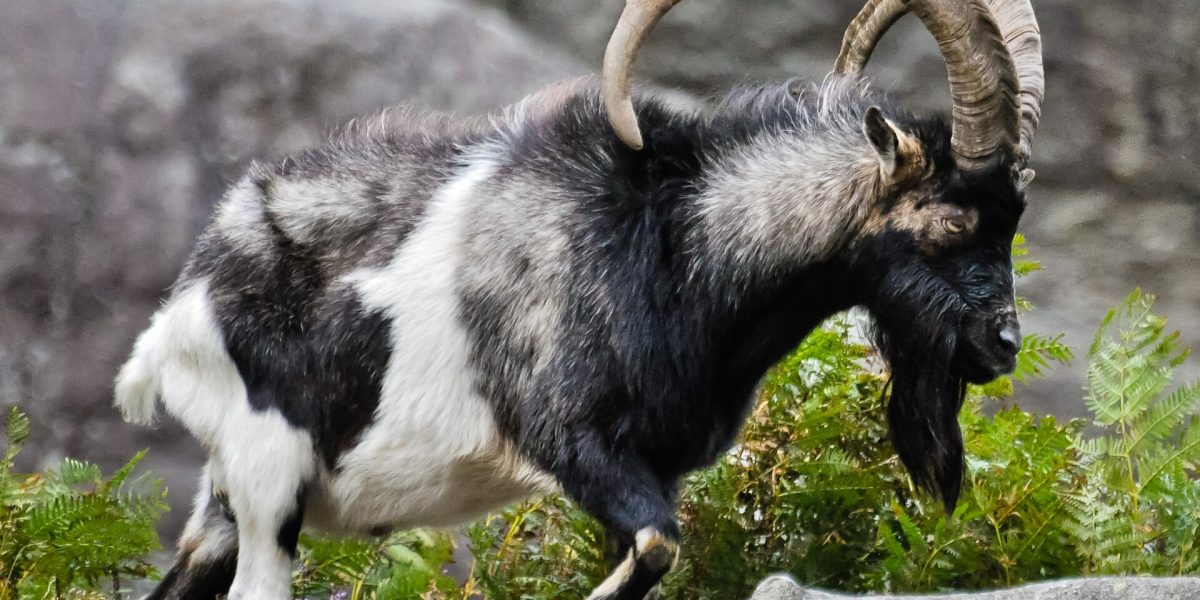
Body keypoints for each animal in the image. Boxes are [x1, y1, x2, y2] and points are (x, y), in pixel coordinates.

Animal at [114, 0, 1045, 598]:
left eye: (1014, 218)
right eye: (952, 218)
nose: (1001, 343)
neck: (673, 246)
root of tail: (186, 299)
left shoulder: (652, 469)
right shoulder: (576, 443)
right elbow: (657, 548)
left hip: (229, 502)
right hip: (267, 478)